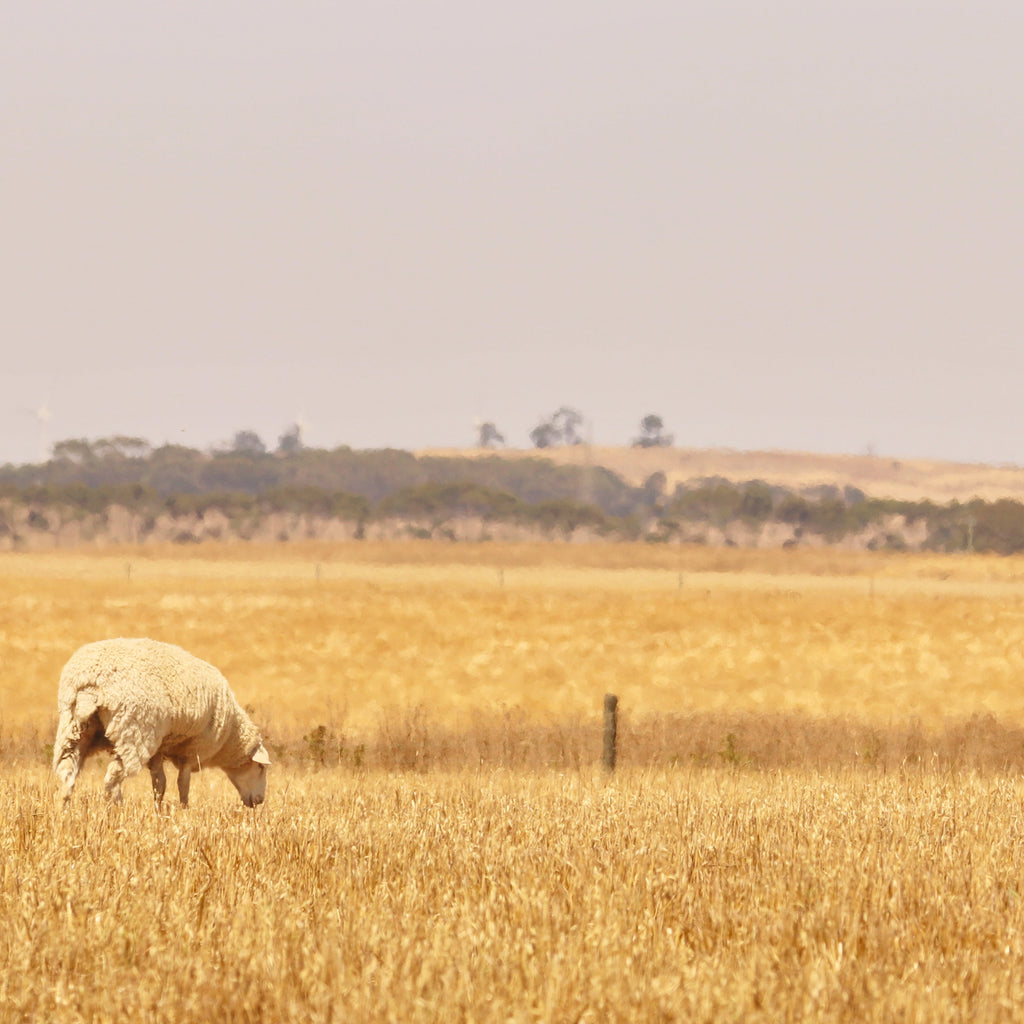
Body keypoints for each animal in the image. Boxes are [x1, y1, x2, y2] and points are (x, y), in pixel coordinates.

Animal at [53, 637, 271, 808]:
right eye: (261, 768)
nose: (259, 801)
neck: (230, 736)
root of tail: (91, 683)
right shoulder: (191, 750)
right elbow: (183, 784)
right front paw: (184, 809)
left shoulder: (159, 747)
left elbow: (160, 783)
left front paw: (158, 809)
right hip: (133, 731)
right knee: (112, 779)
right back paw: (117, 808)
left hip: (74, 727)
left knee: (67, 772)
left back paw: (64, 810)